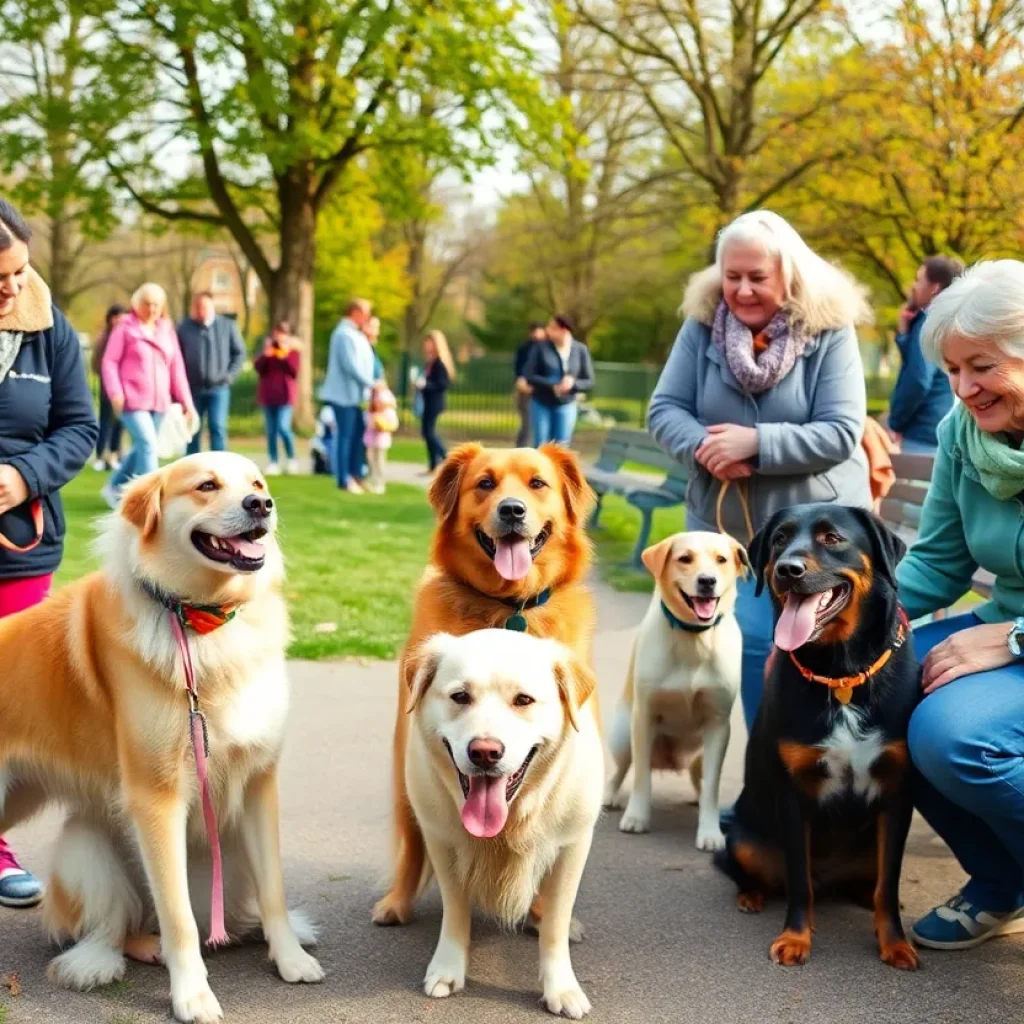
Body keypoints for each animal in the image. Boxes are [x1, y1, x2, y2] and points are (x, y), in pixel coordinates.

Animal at [0, 456, 319, 1024]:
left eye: (258, 485)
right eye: (207, 485)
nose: (261, 506)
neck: (201, 617)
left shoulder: (258, 786)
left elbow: (275, 891)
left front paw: (289, 959)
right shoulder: (157, 800)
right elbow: (179, 919)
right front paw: (192, 995)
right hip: (87, 849)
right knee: (113, 930)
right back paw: (122, 955)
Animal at [374, 442, 598, 929]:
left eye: (537, 483)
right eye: (485, 483)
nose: (512, 510)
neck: (508, 608)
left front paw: (545, 917)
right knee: (412, 840)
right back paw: (397, 901)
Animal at [405, 626, 602, 1019]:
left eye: (523, 700)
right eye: (460, 696)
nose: (485, 752)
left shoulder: (572, 847)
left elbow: (555, 925)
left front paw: (561, 987)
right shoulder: (440, 840)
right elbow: (456, 909)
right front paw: (448, 967)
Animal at [602, 532, 749, 851]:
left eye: (721, 559)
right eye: (685, 558)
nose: (707, 581)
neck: (694, 638)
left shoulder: (718, 725)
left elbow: (712, 788)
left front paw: (710, 832)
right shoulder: (644, 717)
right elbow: (641, 777)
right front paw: (637, 817)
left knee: (700, 780)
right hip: (622, 735)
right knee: (622, 768)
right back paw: (609, 795)